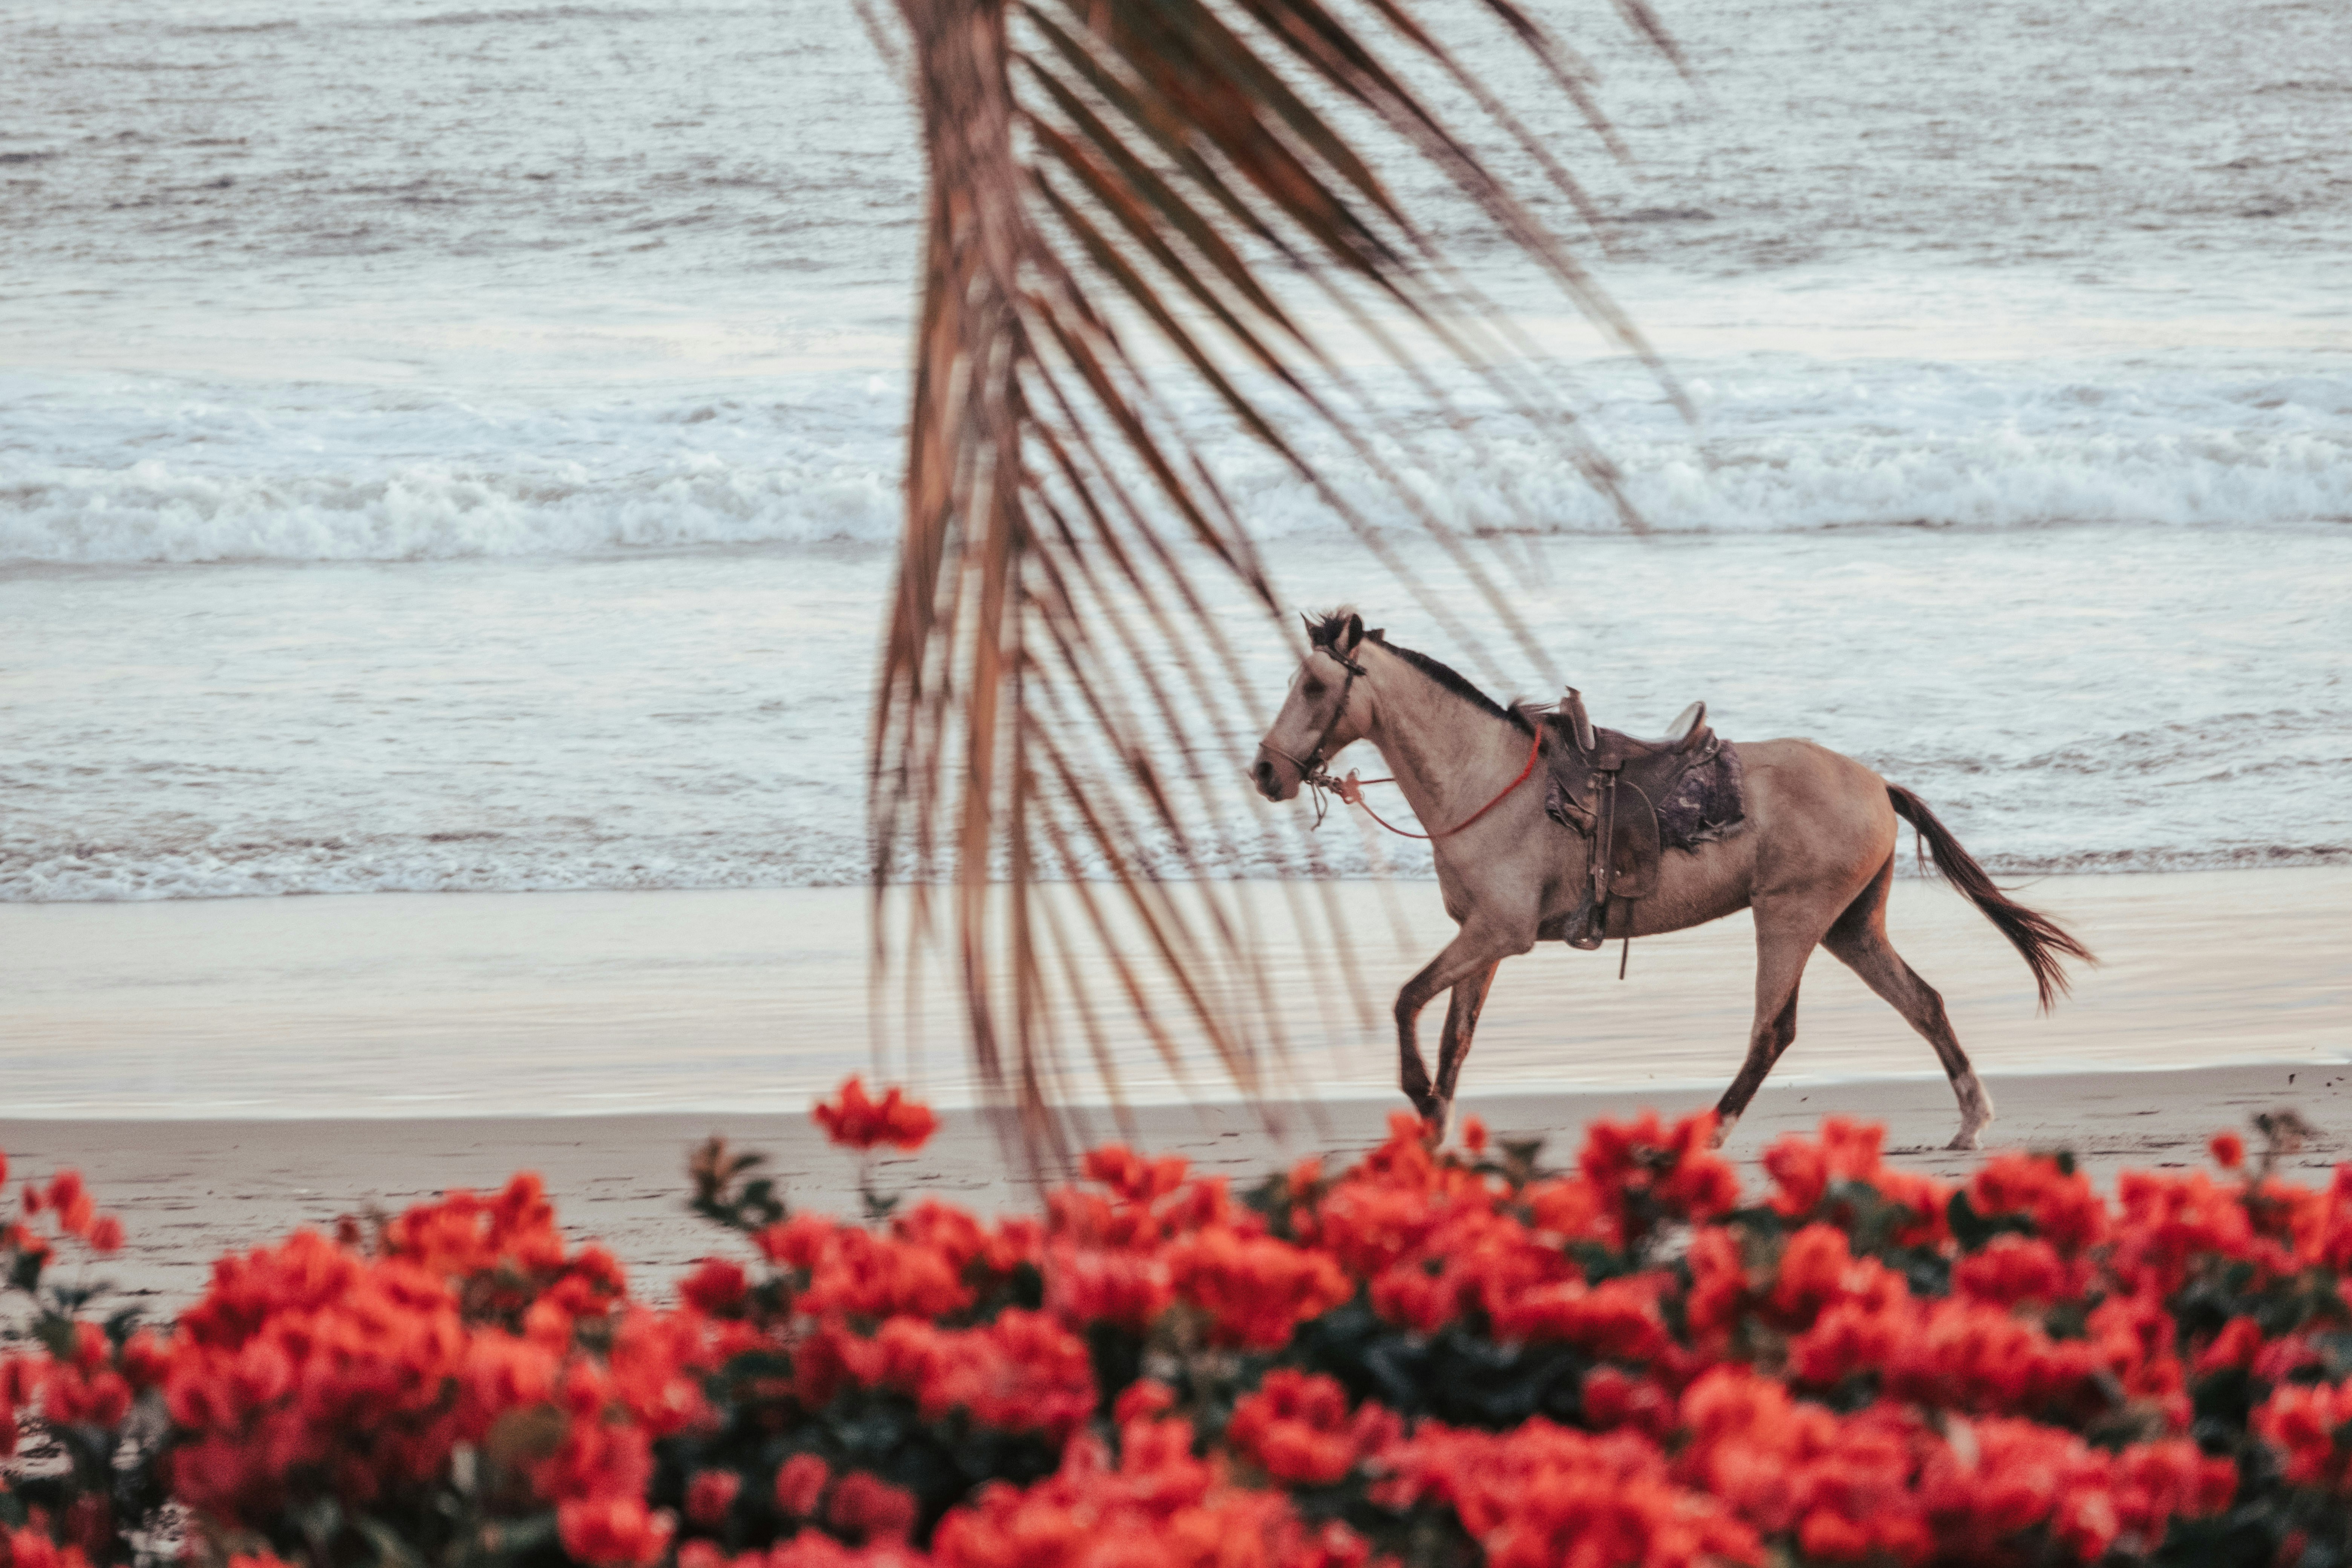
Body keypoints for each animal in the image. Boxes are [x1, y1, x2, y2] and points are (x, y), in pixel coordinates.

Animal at [1249, 611, 2091, 1149]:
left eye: (1315, 687)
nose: (1264, 772)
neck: (1488, 781)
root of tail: (1878, 784)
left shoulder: (1500, 934)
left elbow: (1405, 1001)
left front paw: (1419, 1098)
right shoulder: (1480, 942)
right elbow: (1455, 1036)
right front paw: (1431, 1133)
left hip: (1790, 918)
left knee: (1773, 1031)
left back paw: (1711, 1129)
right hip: (1853, 927)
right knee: (1923, 1003)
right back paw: (1972, 1120)